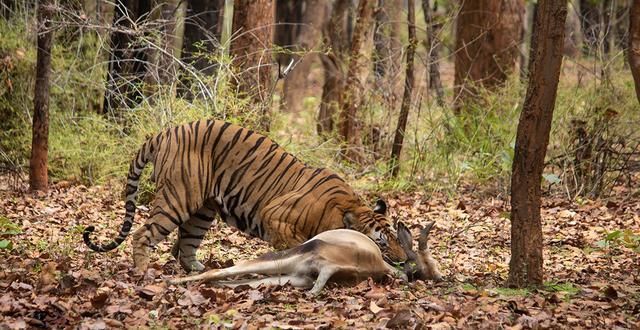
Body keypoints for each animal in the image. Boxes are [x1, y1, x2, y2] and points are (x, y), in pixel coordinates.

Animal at [84, 120, 410, 272]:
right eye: (381, 243)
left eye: (396, 237)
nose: (406, 260)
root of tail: (164, 132)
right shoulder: (274, 216)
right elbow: (297, 245)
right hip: (178, 197)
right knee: (143, 234)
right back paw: (143, 272)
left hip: (203, 210)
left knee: (185, 244)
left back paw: (197, 269)